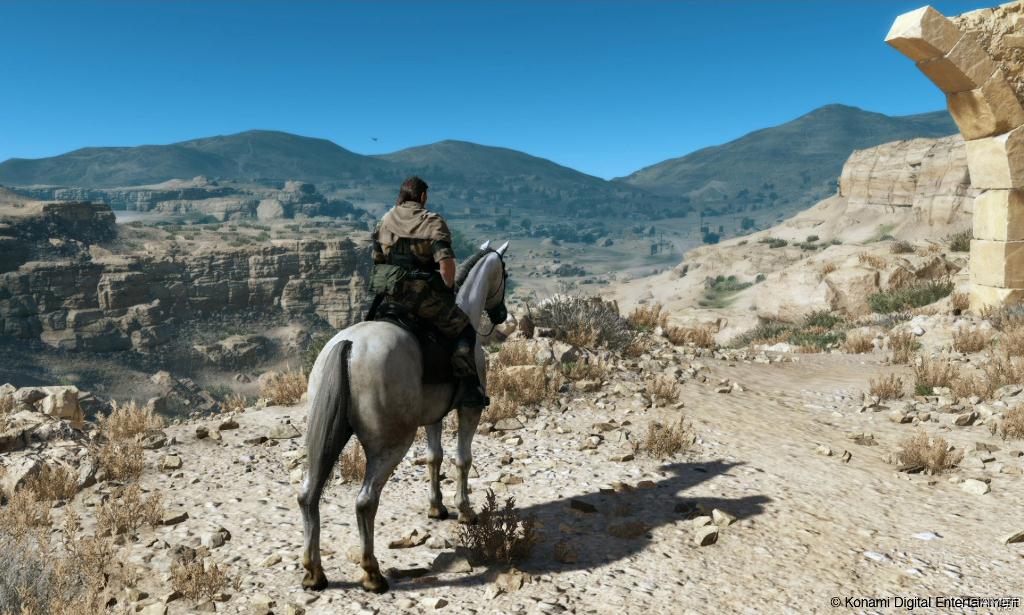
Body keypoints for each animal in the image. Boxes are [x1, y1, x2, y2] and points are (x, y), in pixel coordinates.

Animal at [298, 240, 510, 593]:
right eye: (504, 275)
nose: (502, 314)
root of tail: (349, 345)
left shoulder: (434, 415)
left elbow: (435, 457)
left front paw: (436, 507)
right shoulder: (469, 409)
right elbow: (462, 459)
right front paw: (464, 510)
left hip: (326, 437)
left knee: (307, 495)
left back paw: (314, 573)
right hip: (390, 445)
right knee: (365, 501)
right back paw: (372, 574)